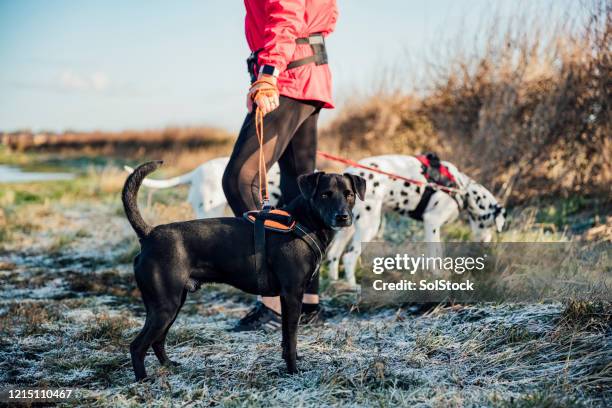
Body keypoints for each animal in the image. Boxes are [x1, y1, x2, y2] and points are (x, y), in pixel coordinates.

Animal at [326, 155, 506, 286]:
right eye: (490, 225)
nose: (485, 244)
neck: (462, 189)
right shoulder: (432, 222)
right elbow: (434, 256)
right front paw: (437, 277)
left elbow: (439, 253)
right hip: (369, 227)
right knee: (349, 257)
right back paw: (353, 288)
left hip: (347, 229)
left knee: (333, 255)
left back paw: (335, 284)